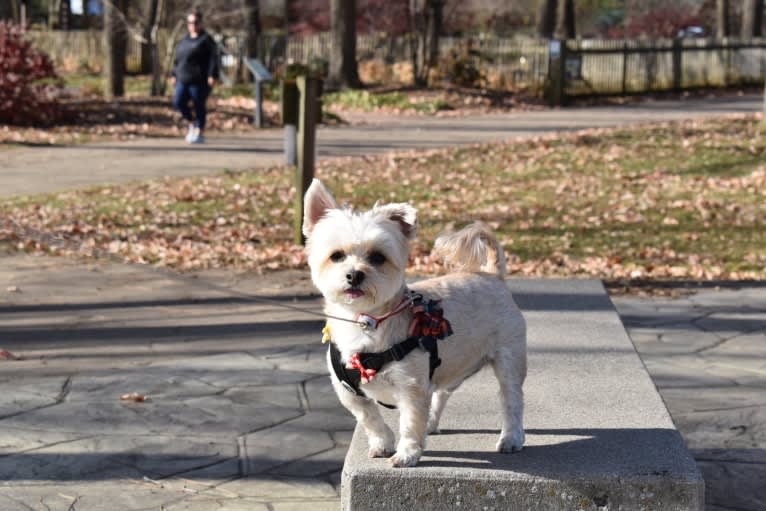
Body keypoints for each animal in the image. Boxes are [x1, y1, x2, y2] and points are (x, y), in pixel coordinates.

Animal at [302, 179, 528, 468]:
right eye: (337, 256)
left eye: (377, 257)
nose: (354, 275)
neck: (365, 322)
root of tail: (492, 274)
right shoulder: (349, 393)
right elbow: (370, 418)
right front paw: (383, 443)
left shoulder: (411, 388)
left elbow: (409, 422)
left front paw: (407, 452)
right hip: (449, 367)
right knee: (441, 393)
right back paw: (431, 423)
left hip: (508, 360)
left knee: (511, 401)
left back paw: (511, 437)